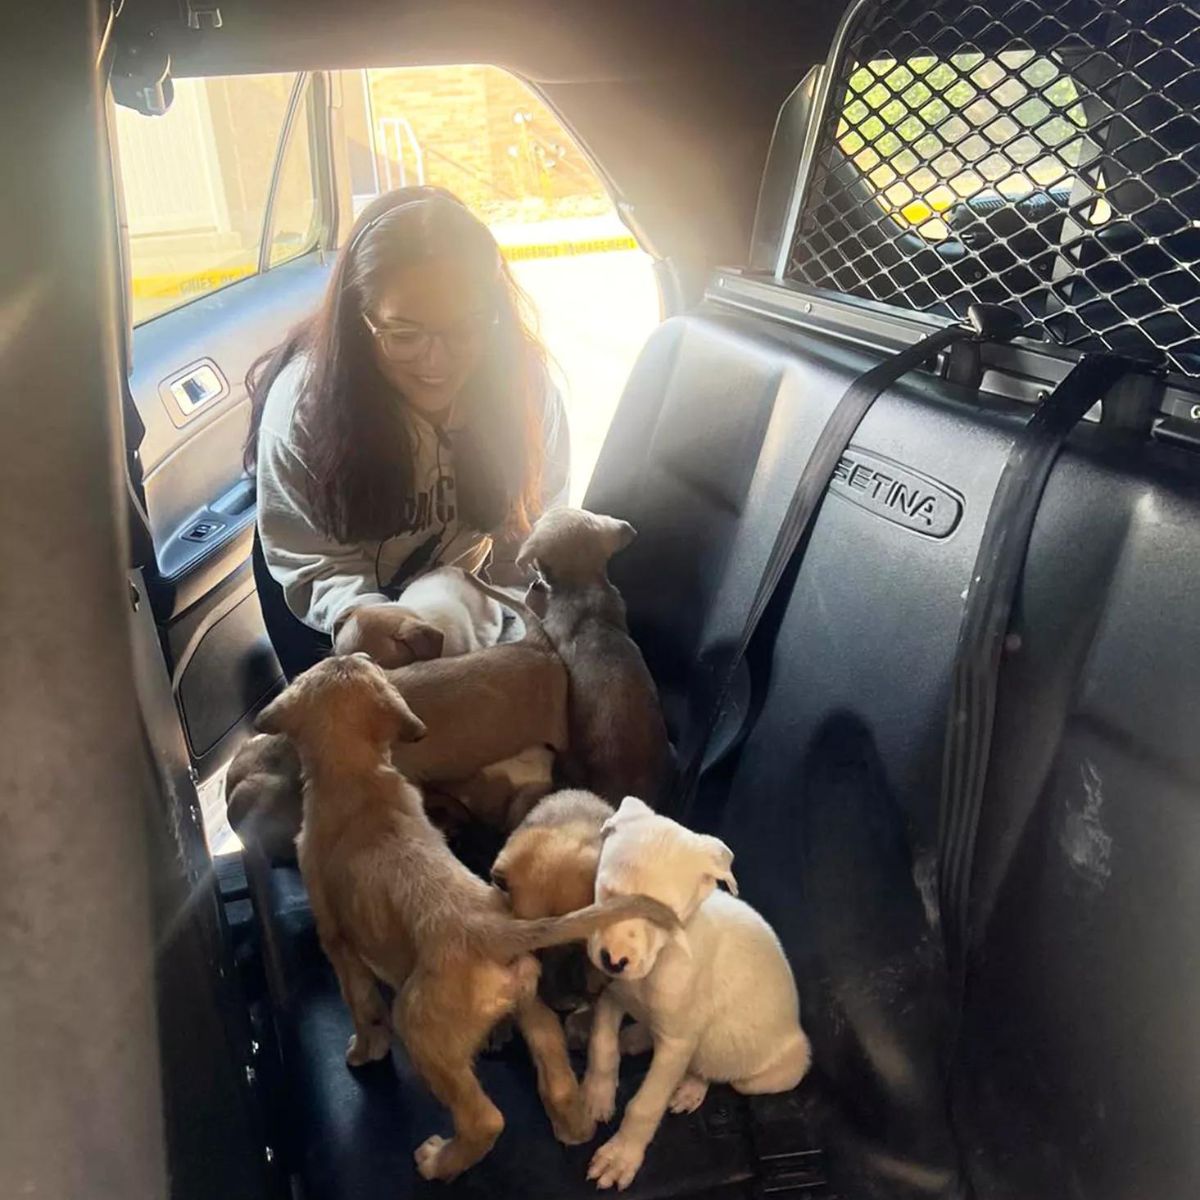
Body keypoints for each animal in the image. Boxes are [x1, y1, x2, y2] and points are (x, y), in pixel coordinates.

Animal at [259, 652, 681, 1176]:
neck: (357, 776)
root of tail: (495, 931)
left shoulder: (337, 942)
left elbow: (362, 1007)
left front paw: (363, 1051)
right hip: (532, 1007)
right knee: (555, 1069)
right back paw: (574, 1124)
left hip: (420, 1029)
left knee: (484, 1119)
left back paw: (438, 1161)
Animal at [578, 796, 806, 1190]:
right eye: (608, 894)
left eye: (661, 914)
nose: (614, 960)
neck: (661, 960)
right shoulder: (614, 995)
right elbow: (601, 1044)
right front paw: (597, 1093)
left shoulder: (677, 1043)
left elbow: (645, 1104)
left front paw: (620, 1156)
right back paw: (637, 1038)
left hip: (755, 1077)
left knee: (715, 1070)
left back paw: (689, 1086)